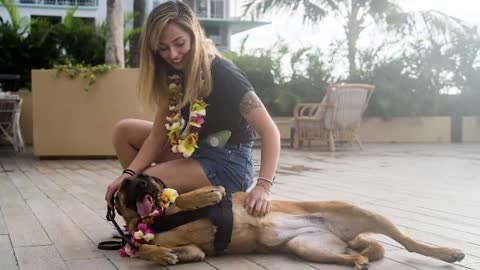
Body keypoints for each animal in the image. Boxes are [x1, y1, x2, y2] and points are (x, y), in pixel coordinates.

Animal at [115, 175, 464, 270]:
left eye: (149, 178)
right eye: (124, 186)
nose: (141, 182)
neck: (153, 220)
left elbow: (189, 196)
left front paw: (202, 195)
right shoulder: (195, 252)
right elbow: (143, 247)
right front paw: (160, 254)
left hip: (361, 213)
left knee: (409, 242)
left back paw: (448, 253)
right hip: (307, 248)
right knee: (357, 254)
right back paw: (357, 260)